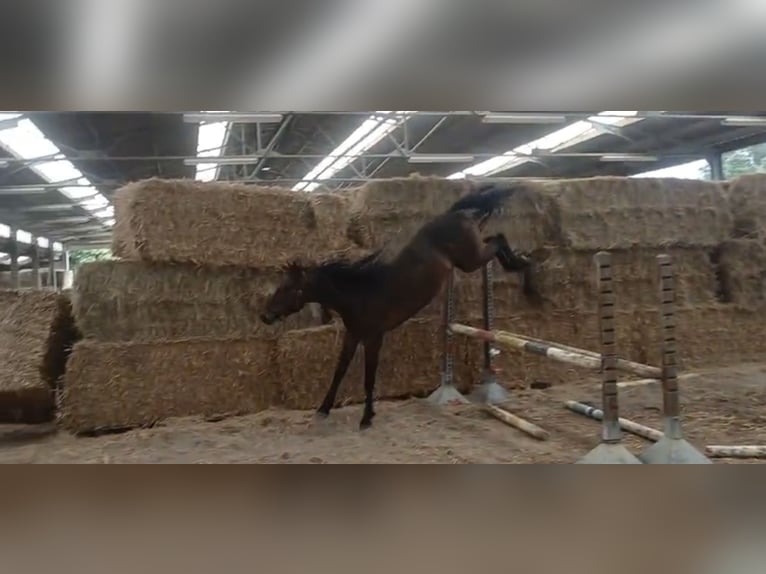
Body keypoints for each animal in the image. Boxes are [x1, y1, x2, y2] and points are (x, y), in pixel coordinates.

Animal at [260, 183, 541, 430]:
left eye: (288, 288)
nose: (265, 316)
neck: (358, 294)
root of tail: (455, 214)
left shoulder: (373, 338)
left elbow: (369, 378)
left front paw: (366, 418)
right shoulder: (353, 336)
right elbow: (339, 371)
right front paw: (323, 409)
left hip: (471, 259)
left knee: (499, 240)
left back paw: (526, 274)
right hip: (472, 254)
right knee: (495, 238)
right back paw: (521, 266)